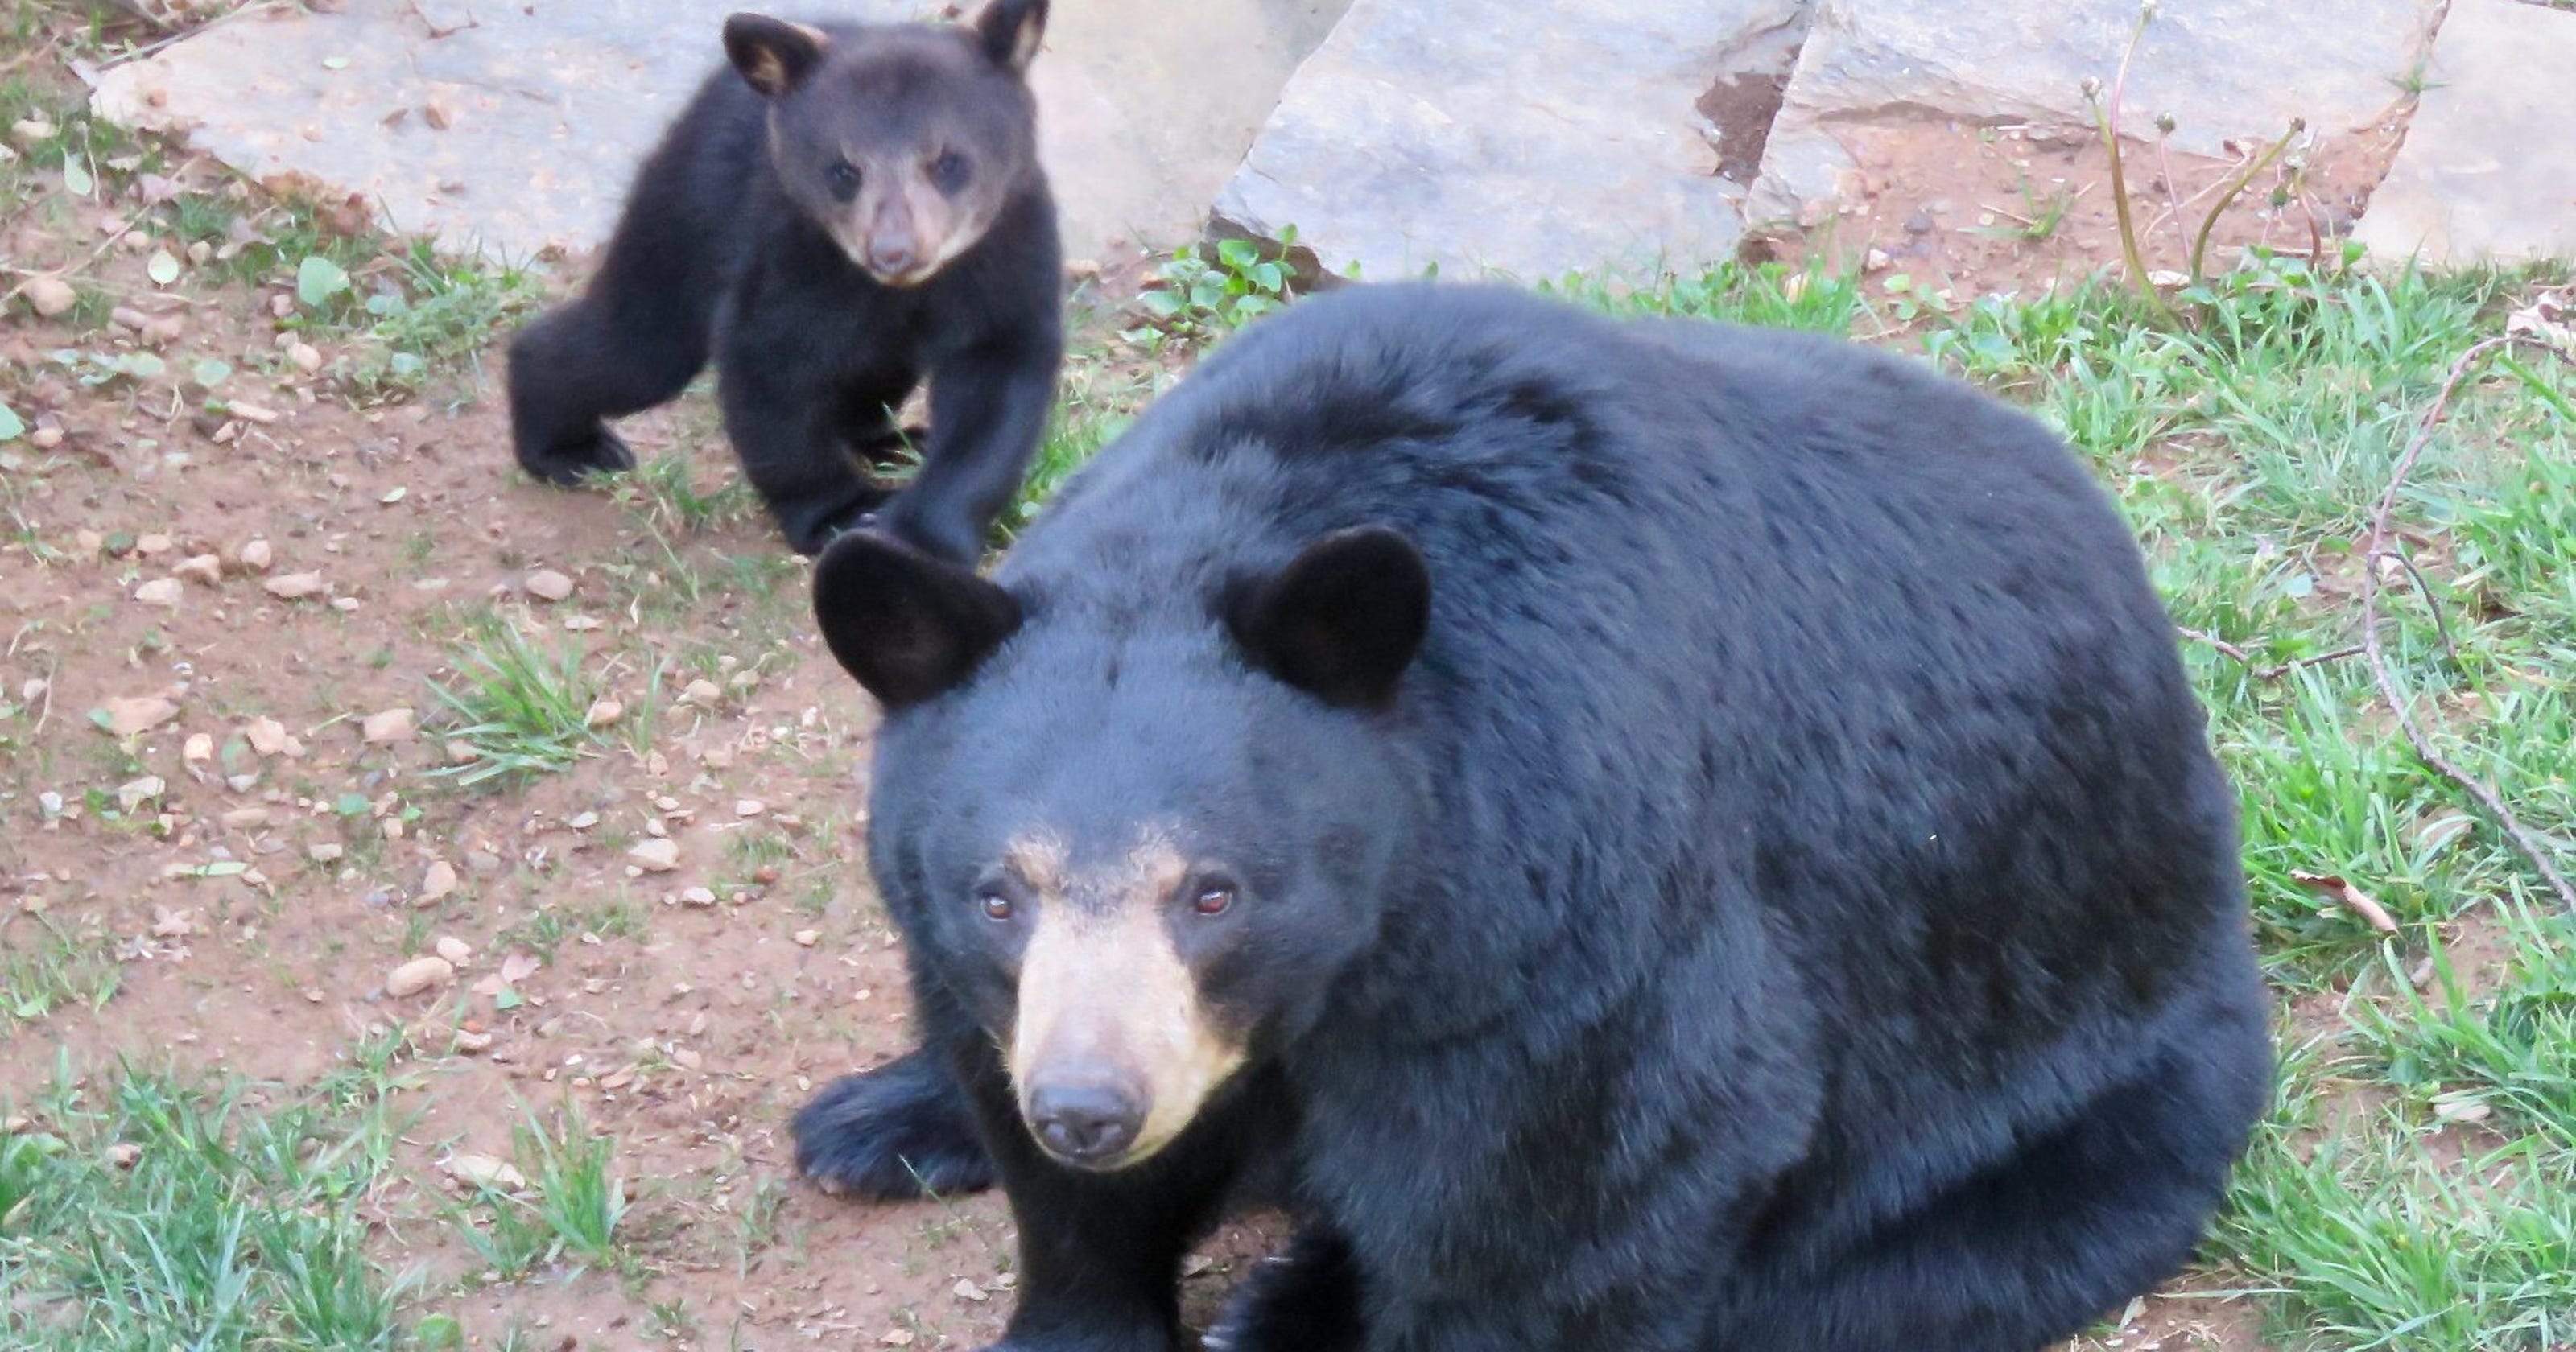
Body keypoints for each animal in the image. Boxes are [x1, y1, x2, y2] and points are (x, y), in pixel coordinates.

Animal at [505, 1, 1062, 564]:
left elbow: (996, 394)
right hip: (686, 210)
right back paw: (570, 447)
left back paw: (896, 438)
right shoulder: (788, 252)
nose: (893, 252)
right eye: (844, 170)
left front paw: (922, 537)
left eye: (948, 161)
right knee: (636, 347)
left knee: (873, 369)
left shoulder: (1011, 256)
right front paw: (843, 513)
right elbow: (769, 374)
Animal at [792, 281, 2273, 1352]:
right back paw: (873, 1119)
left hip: (2056, 1092)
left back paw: (1292, 1308)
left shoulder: (1559, 905)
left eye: (1214, 891)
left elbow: (1580, 1186)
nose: (1091, 1106)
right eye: (1000, 892)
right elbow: (1070, 1197)